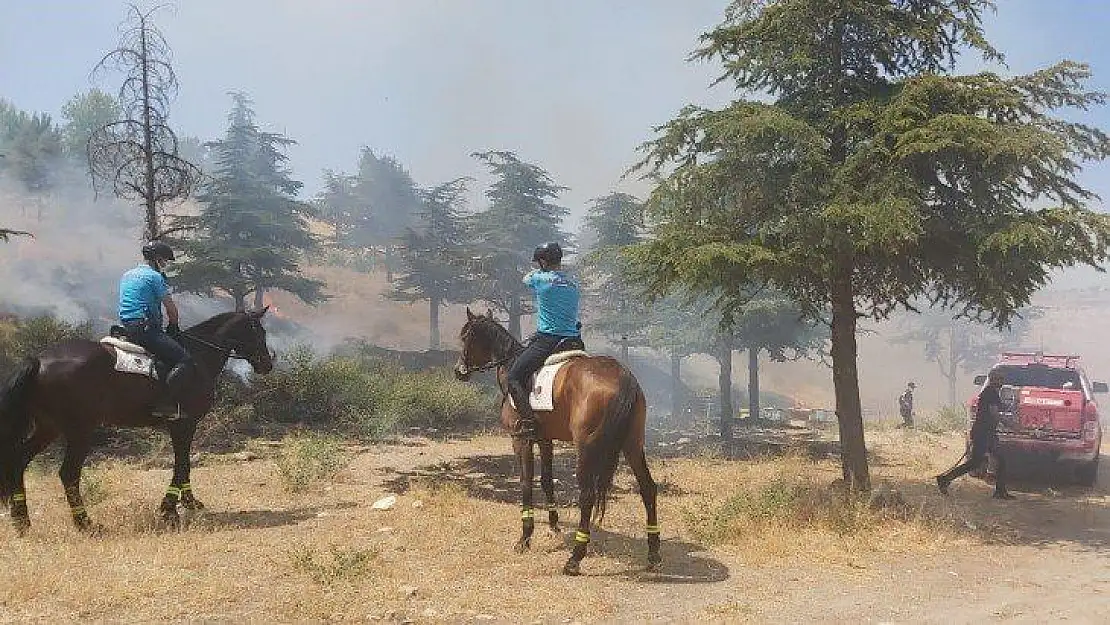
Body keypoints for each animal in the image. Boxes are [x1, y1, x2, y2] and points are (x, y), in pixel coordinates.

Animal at [0, 308, 275, 532]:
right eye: (258, 331)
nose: (267, 364)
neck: (198, 356)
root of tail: (39, 360)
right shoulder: (184, 423)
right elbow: (182, 464)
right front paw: (169, 509)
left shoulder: (182, 426)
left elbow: (184, 464)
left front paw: (189, 503)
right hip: (80, 431)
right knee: (68, 473)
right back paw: (85, 524)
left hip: (49, 428)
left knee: (18, 460)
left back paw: (22, 522)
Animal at [452, 308, 657, 577]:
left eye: (465, 336)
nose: (459, 371)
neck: (510, 363)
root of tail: (623, 377)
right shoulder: (544, 439)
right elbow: (547, 480)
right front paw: (553, 526)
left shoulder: (520, 439)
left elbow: (526, 482)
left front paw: (525, 538)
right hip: (632, 444)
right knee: (648, 488)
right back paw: (653, 553)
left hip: (587, 448)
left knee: (587, 495)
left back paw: (575, 558)